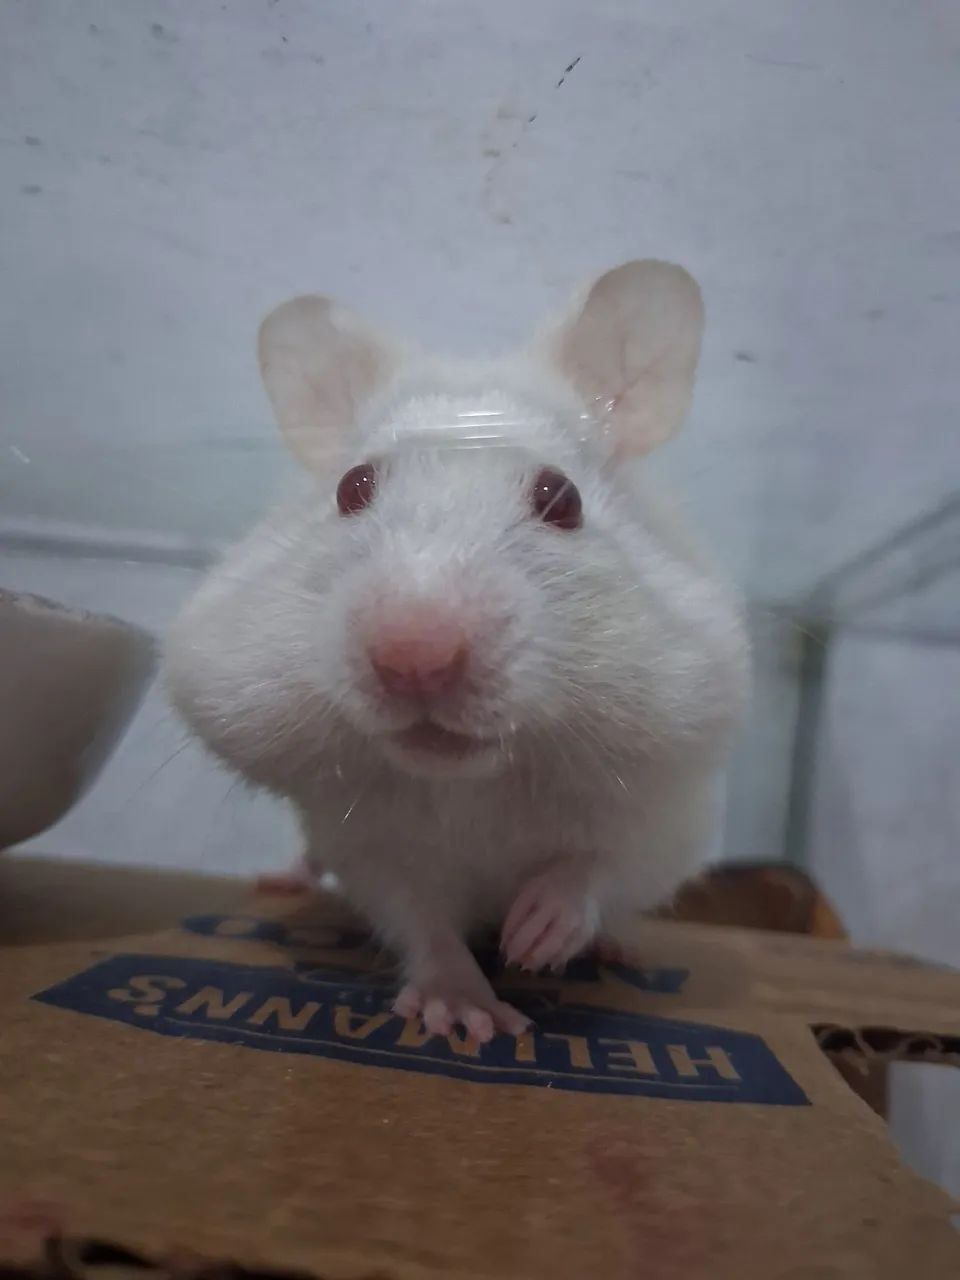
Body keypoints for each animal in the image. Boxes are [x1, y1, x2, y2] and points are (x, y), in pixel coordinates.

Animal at [165, 260, 749, 1043]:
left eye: (562, 498)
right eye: (352, 489)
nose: (414, 657)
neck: (474, 782)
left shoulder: (664, 811)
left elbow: (598, 868)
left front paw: (534, 940)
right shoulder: (369, 845)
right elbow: (422, 922)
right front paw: (469, 1017)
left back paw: (613, 949)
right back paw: (279, 880)